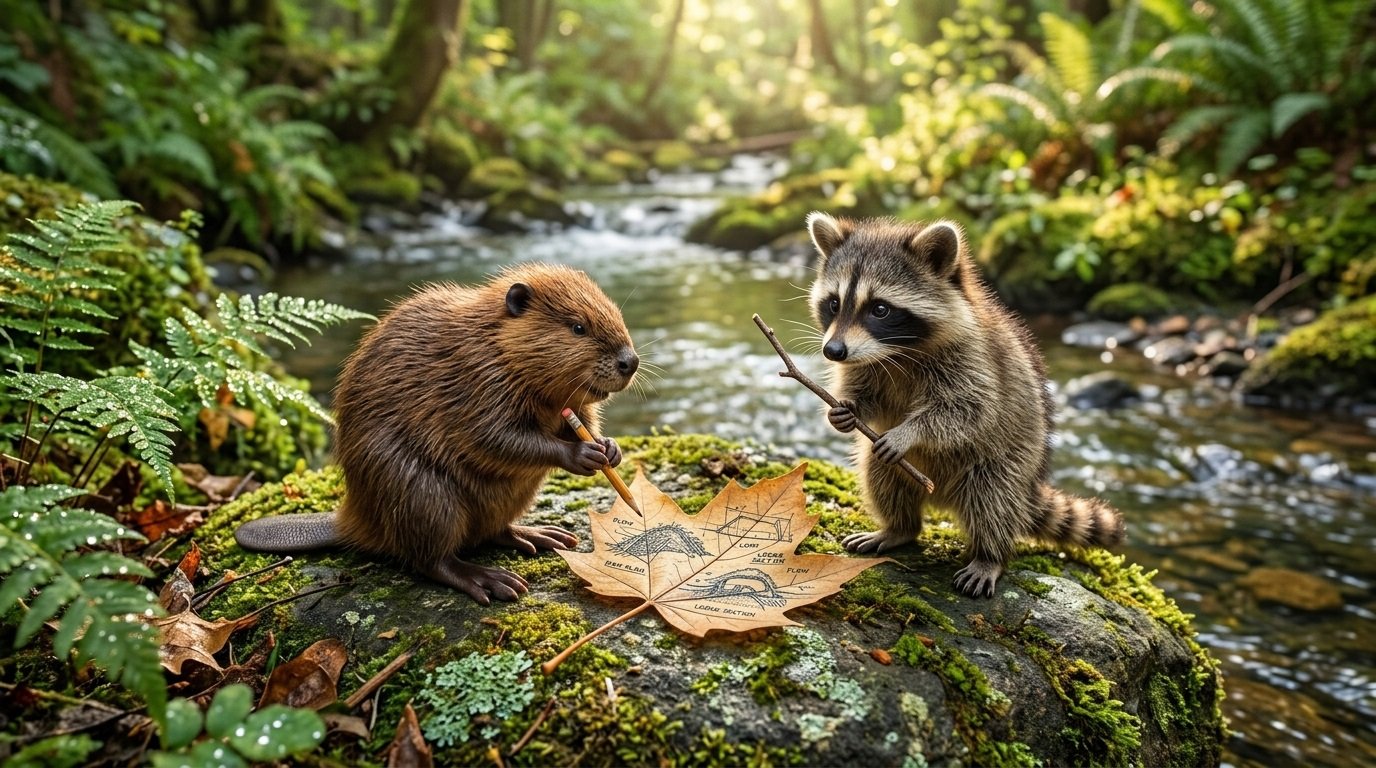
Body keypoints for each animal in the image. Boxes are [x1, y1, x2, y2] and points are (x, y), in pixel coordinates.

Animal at [805, 212, 1124, 598]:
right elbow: (866, 395)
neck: (898, 351)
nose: (833, 351)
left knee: (993, 499)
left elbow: (967, 411)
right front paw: (847, 408)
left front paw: (911, 431)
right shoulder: (867, 364)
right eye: (834, 303)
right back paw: (899, 527)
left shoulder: (973, 359)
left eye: (880, 309)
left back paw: (990, 555)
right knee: (880, 475)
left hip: (1010, 461)